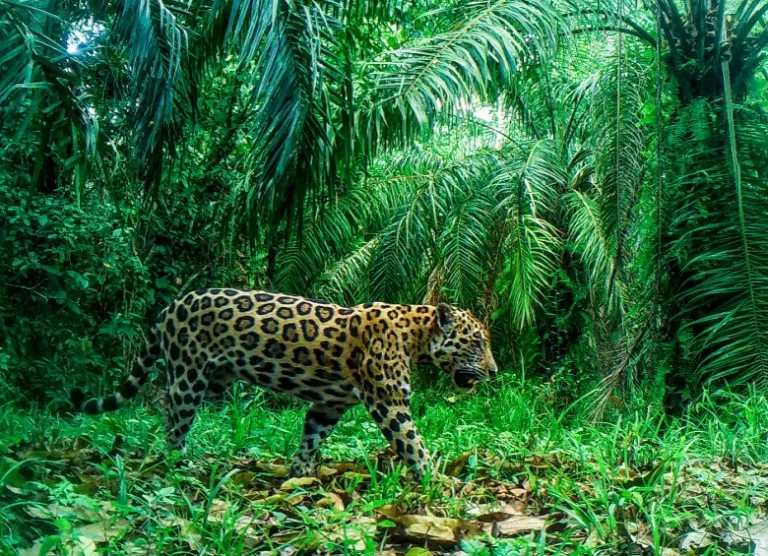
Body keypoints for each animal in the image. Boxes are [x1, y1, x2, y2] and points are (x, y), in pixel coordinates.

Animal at [71, 289, 498, 479]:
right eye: (477, 342)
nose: (494, 371)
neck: (416, 336)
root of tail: (171, 306)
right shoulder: (388, 403)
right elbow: (413, 445)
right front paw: (437, 482)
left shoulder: (328, 405)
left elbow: (310, 440)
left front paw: (299, 475)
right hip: (189, 376)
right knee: (174, 416)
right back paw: (177, 462)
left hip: (212, 382)